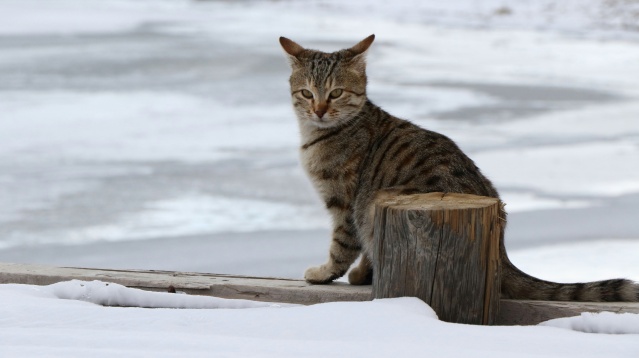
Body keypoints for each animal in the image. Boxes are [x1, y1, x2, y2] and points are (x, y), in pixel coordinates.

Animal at [280, 34, 639, 302]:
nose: (319, 110)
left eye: (336, 93)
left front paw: (326, 273)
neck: (319, 134)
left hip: (382, 198)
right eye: (307, 92)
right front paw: (358, 275)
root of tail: (501, 247)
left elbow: (342, 245)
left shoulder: (348, 203)